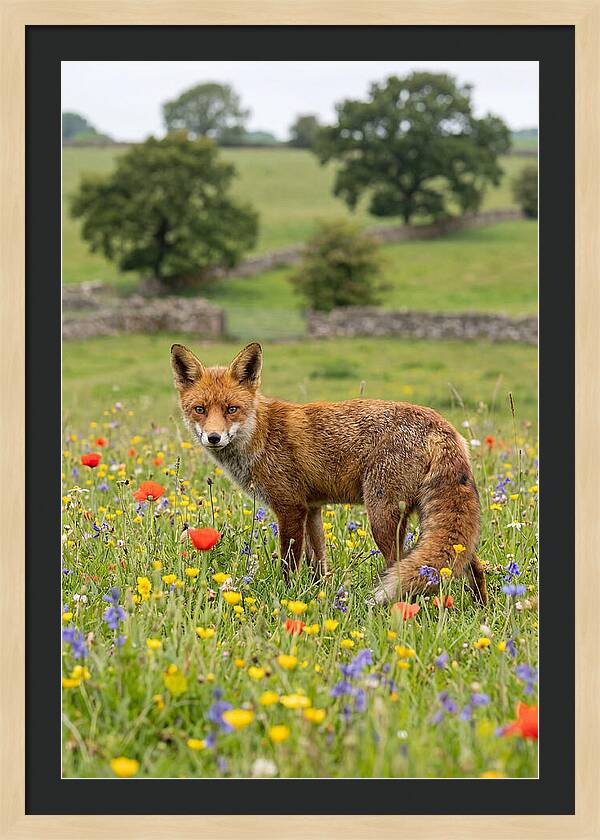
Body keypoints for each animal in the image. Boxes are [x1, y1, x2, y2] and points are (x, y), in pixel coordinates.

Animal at [171, 341, 488, 605]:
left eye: (231, 409)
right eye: (200, 409)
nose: (213, 437)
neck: (260, 434)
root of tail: (440, 425)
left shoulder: (290, 508)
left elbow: (289, 563)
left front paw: (286, 596)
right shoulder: (312, 509)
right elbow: (318, 564)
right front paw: (319, 595)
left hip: (382, 516)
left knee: (398, 565)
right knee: (472, 564)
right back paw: (481, 608)